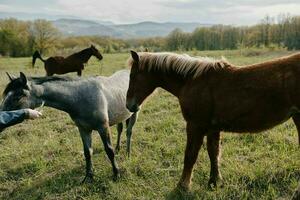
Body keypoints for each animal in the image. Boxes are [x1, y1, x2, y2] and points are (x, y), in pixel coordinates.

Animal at [0, 70, 137, 183]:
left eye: (18, 96)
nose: (1, 113)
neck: (80, 97)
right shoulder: (83, 129)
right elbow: (88, 152)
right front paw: (89, 177)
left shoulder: (103, 127)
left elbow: (109, 150)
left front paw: (116, 174)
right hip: (121, 116)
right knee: (120, 129)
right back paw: (120, 148)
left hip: (135, 113)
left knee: (129, 132)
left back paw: (128, 153)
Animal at [126, 50, 300, 191]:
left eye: (132, 75)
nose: (129, 105)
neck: (192, 81)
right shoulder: (212, 128)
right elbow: (213, 152)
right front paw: (214, 181)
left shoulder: (195, 126)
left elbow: (190, 155)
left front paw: (183, 185)